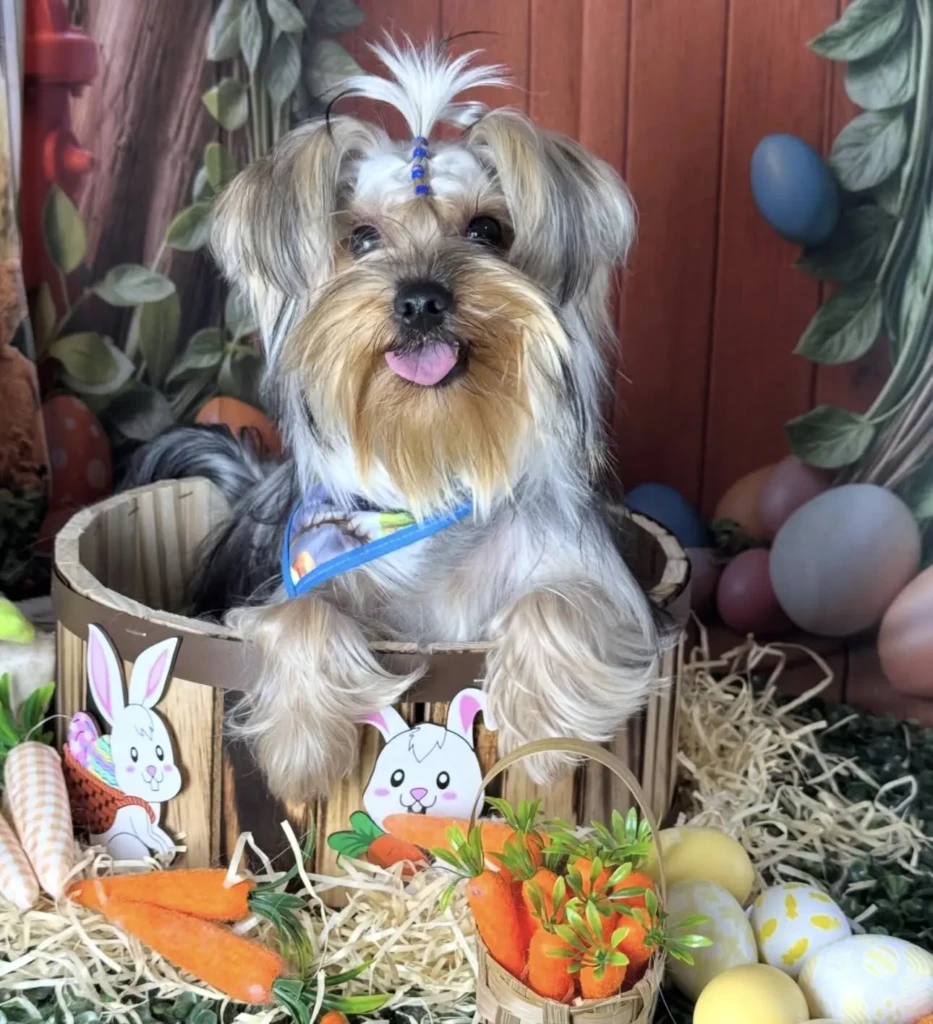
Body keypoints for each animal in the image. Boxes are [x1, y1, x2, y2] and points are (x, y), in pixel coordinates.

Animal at [125, 39, 666, 803]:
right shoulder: (307, 566)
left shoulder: (609, 590)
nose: (420, 300)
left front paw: (542, 740)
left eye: (487, 230)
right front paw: (300, 751)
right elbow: (299, 611)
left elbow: (558, 603)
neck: (434, 456)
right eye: (360, 239)